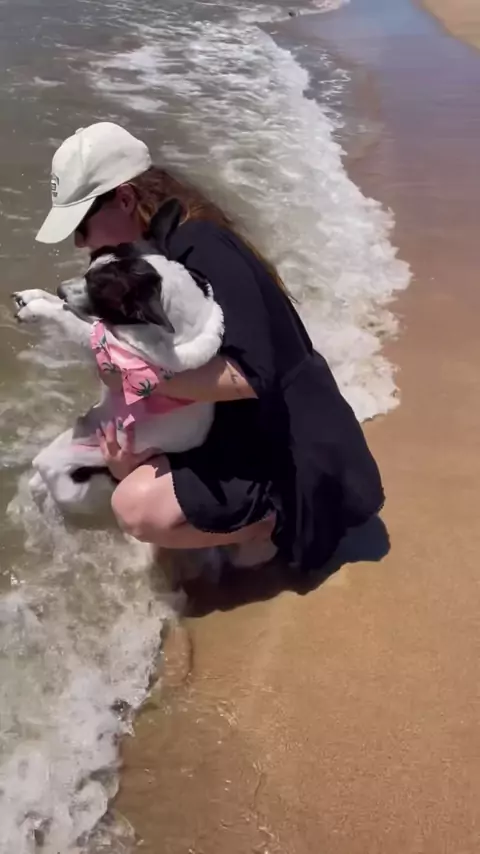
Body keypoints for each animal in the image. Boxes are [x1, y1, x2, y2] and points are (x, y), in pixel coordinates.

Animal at [12, 230, 224, 515]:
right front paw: (35, 296)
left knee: (52, 472)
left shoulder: (109, 349)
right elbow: (69, 310)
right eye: (89, 265)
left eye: (98, 287)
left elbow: (68, 316)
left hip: (93, 452)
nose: (60, 288)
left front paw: (36, 309)